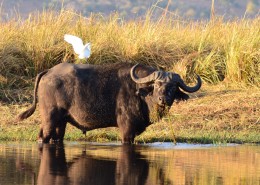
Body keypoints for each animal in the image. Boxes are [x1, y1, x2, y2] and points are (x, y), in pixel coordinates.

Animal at [17, 62, 202, 143]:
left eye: (173, 87)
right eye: (157, 84)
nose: (163, 99)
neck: (141, 93)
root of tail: (49, 71)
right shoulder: (127, 128)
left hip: (60, 122)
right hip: (49, 117)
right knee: (43, 136)